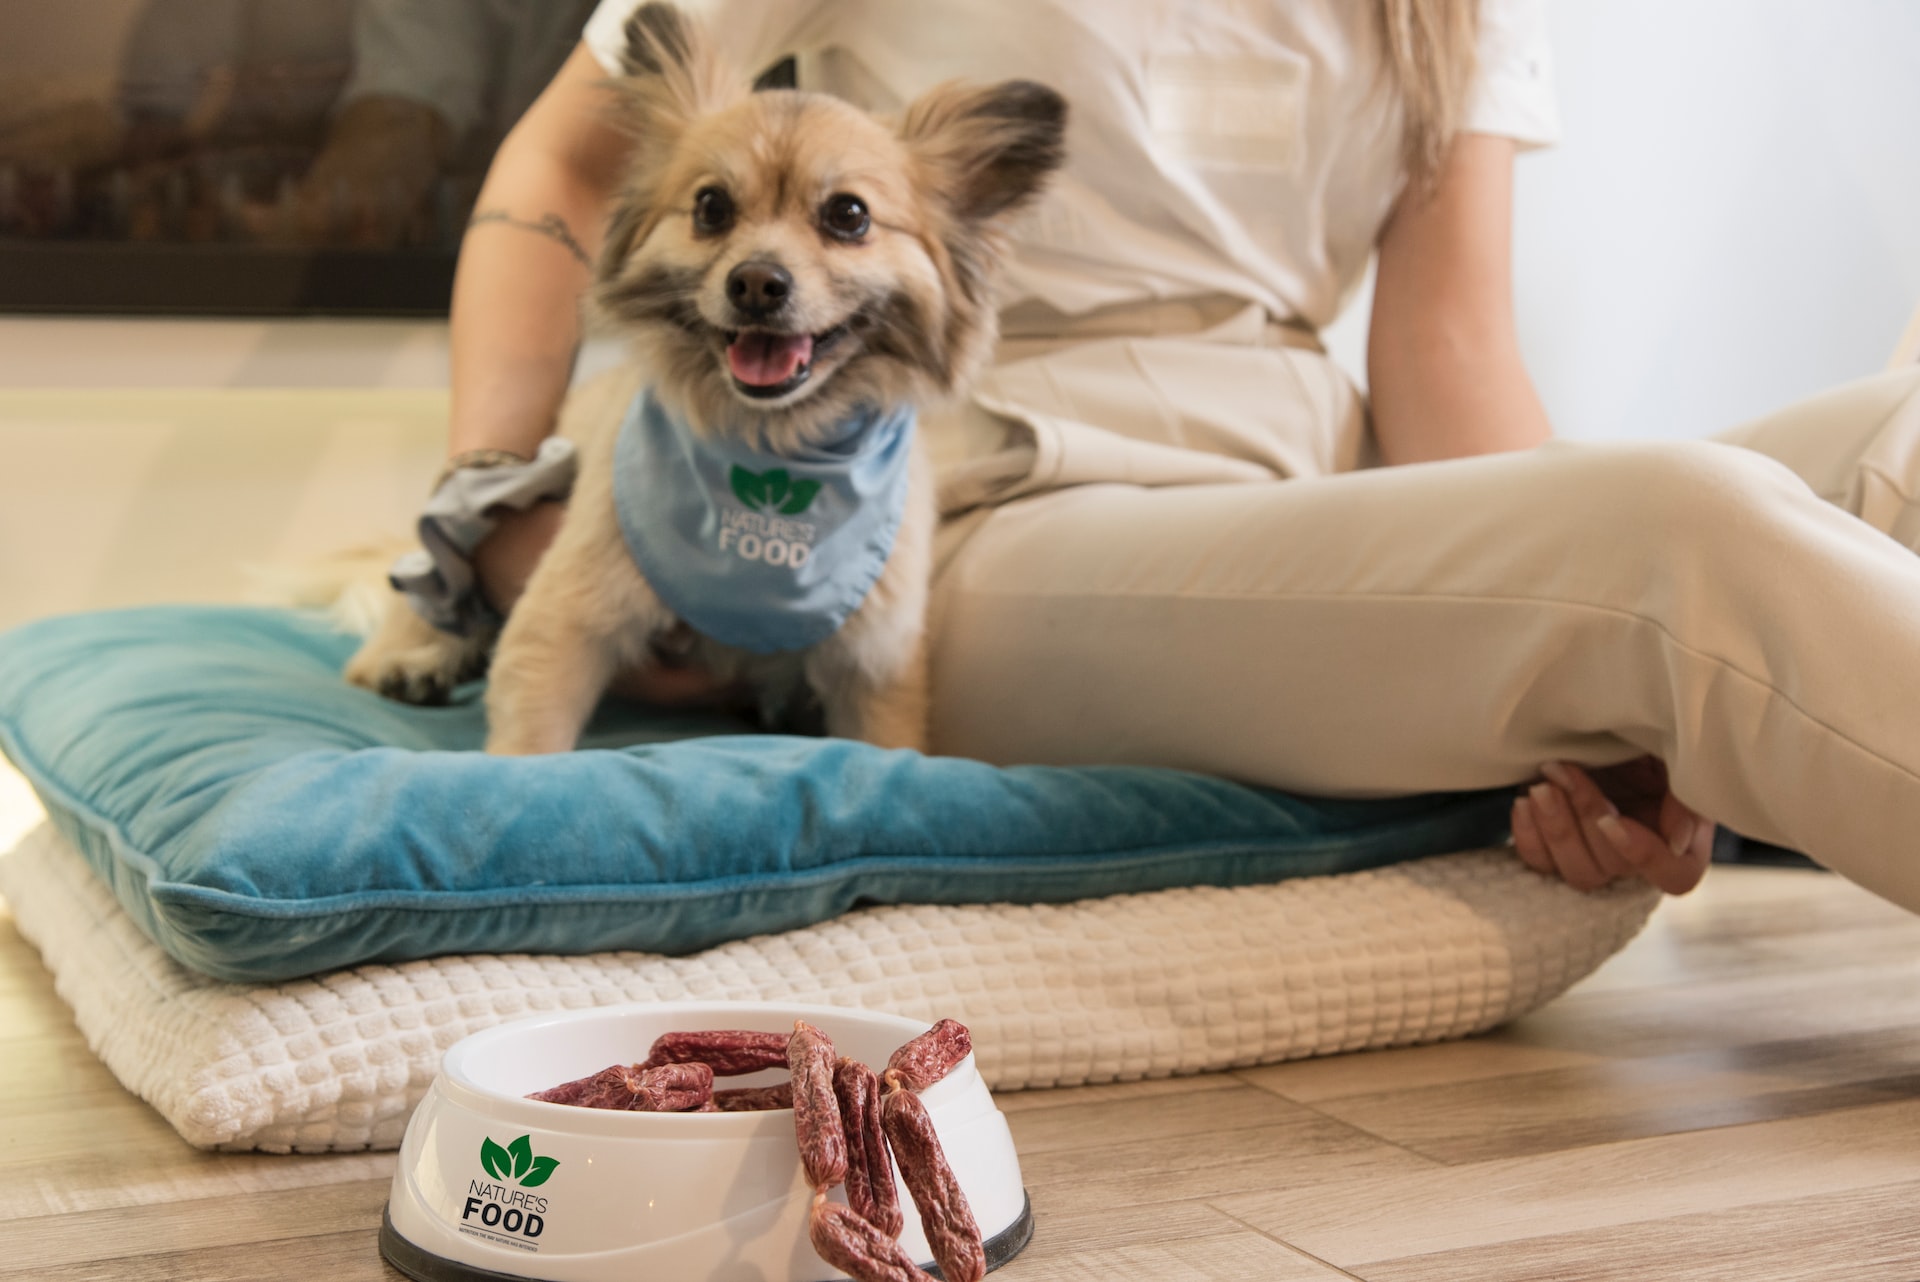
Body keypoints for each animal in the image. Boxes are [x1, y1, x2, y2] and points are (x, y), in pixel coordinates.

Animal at [345, 5, 1067, 756]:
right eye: (712, 207)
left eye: (849, 215)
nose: (757, 282)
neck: (774, 458)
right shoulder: (564, 619)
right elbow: (530, 741)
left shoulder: (875, 666)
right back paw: (413, 659)